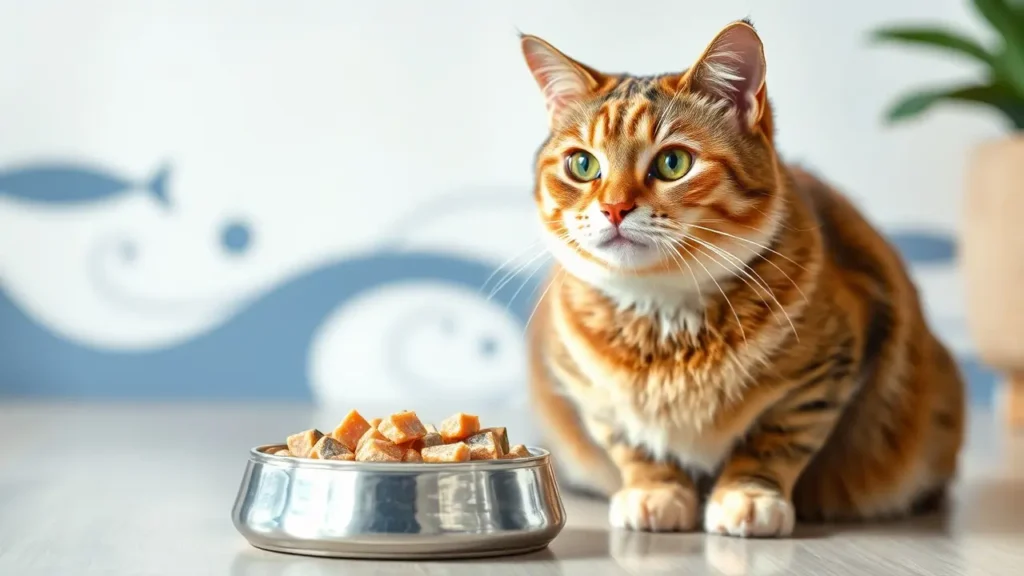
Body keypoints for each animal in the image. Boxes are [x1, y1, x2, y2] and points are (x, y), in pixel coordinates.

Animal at [524, 19, 962, 537]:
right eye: (583, 164)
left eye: (672, 163)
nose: (613, 207)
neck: (665, 319)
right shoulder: (589, 392)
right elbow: (632, 444)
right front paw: (655, 490)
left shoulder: (827, 370)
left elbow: (777, 438)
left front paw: (749, 495)